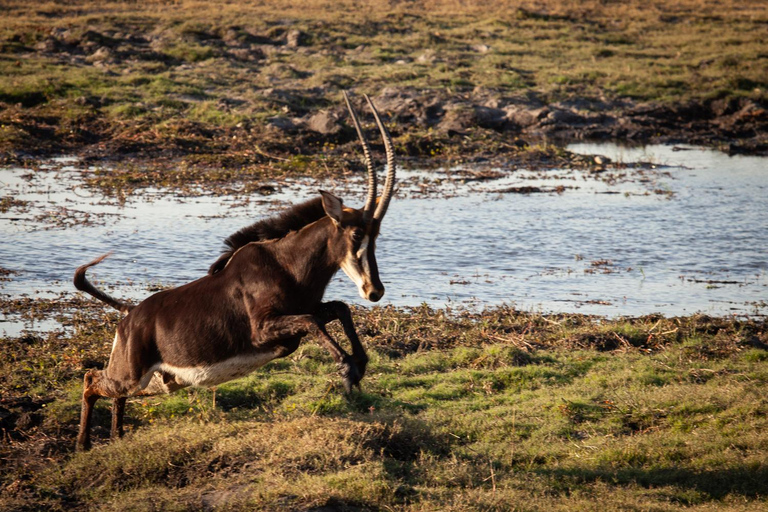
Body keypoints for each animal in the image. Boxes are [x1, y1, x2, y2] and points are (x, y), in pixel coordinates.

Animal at [73, 93, 396, 452]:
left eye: (376, 235)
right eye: (356, 235)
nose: (374, 291)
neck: (285, 264)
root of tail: (129, 315)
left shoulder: (300, 316)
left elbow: (339, 308)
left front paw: (359, 364)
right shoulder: (264, 330)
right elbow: (316, 320)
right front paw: (348, 370)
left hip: (159, 382)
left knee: (112, 391)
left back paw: (116, 438)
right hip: (132, 375)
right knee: (90, 380)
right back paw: (83, 445)